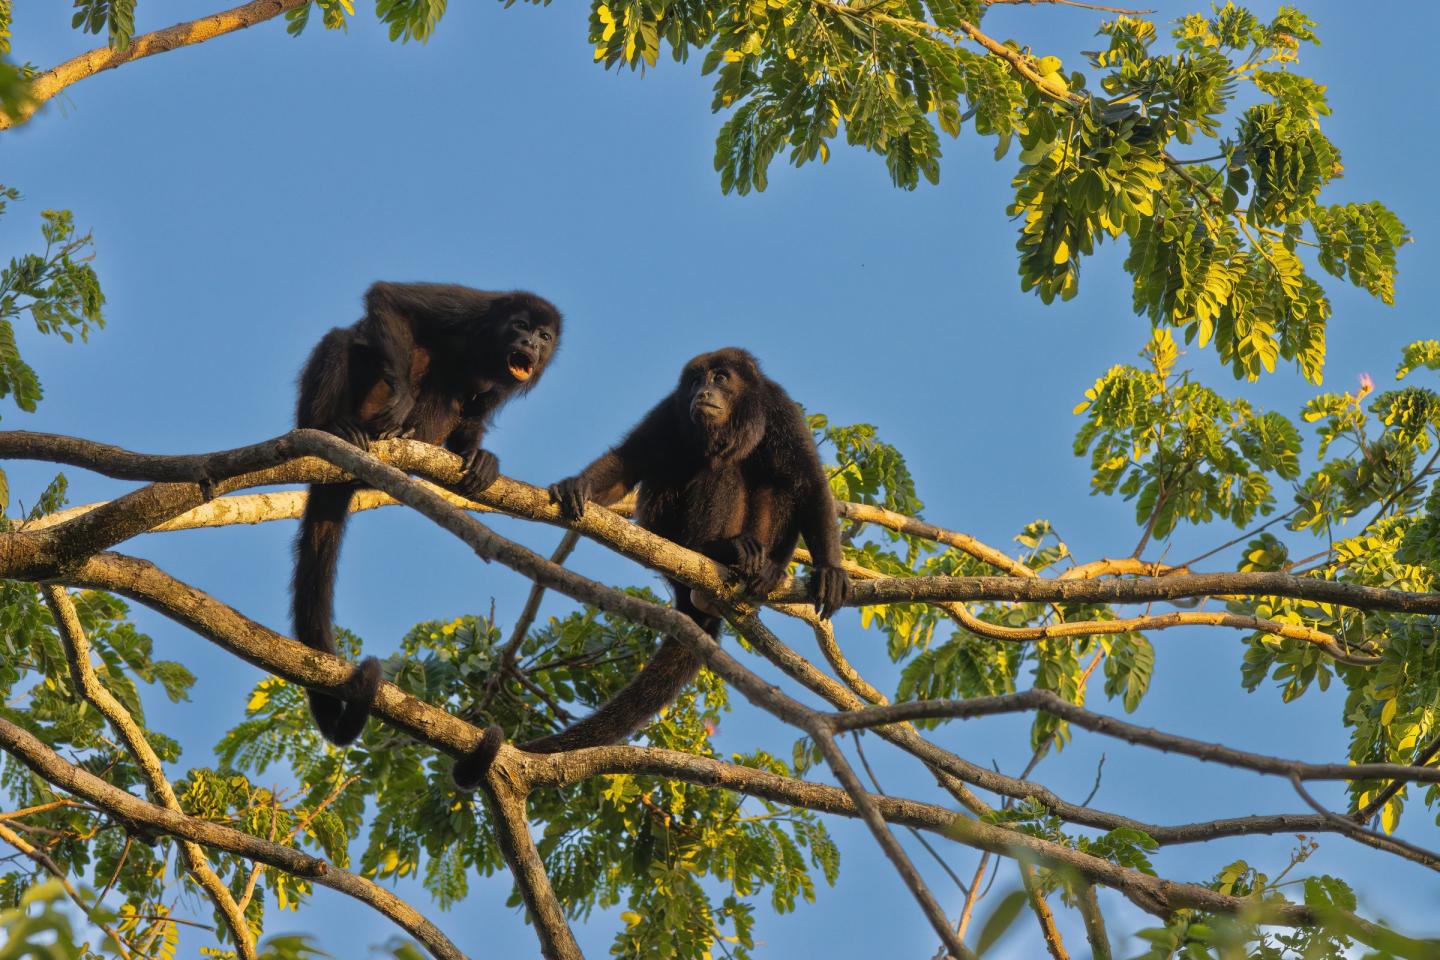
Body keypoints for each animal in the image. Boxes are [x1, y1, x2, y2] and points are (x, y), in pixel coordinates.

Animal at [293, 281, 561, 748]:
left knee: (451, 391)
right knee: (343, 341)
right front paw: (401, 396)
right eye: (521, 325)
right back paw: (333, 428)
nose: (530, 344)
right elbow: (390, 298)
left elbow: (476, 411)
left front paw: (479, 453)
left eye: (544, 337)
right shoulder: (475, 308)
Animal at [451, 347, 848, 789]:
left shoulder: (781, 410)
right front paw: (577, 485)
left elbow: (808, 480)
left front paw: (830, 570)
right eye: (695, 382)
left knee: (775, 479)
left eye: (721, 378)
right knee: (721, 470)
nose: (703, 392)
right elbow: (630, 459)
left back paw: (765, 571)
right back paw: (719, 550)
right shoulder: (670, 409)